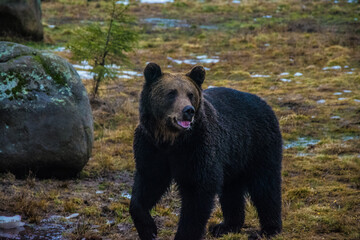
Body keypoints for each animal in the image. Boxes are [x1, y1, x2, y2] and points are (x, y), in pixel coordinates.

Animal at [131, 63, 282, 240]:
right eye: (171, 93)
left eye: (190, 94)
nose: (188, 111)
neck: (172, 140)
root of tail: (264, 103)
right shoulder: (151, 148)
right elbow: (148, 183)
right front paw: (149, 229)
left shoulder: (197, 149)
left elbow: (197, 192)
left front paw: (184, 234)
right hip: (233, 156)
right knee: (232, 189)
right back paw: (226, 226)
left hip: (259, 145)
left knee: (265, 185)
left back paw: (268, 229)